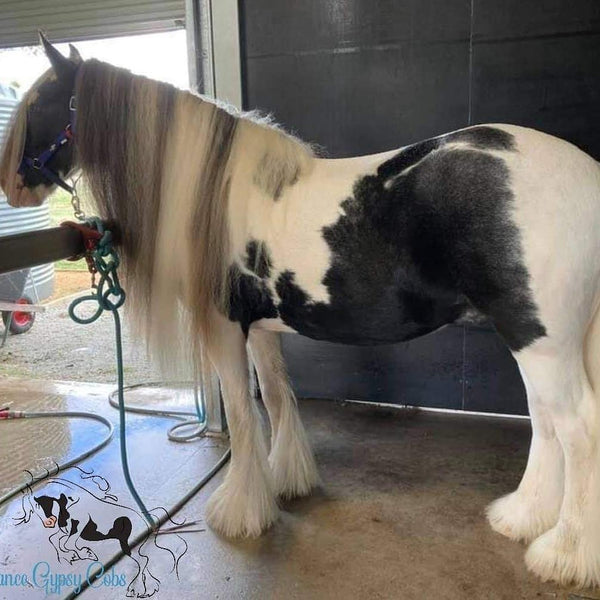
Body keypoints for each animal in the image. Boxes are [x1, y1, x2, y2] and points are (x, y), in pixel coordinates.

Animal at [1, 34, 600, 592]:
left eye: (43, 99)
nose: (13, 184)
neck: (216, 192)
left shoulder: (225, 329)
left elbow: (243, 415)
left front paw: (241, 513)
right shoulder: (262, 330)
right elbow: (276, 396)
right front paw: (286, 482)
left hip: (539, 340)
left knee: (578, 427)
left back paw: (563, 556)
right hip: (536, 341)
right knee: (545, 419)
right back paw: (523, 519)